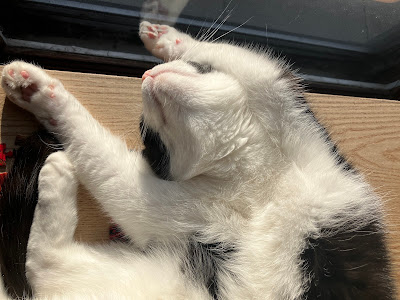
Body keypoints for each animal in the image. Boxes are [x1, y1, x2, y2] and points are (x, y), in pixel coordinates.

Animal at [0, 19, 394, 298]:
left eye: (144, 133)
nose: (145, 74)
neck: (255, 176)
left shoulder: (301, 133)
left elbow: (246, 62)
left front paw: (166, 38)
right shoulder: (179, 209)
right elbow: (106, 164)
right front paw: (37, 90)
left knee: (46, 262)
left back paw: (56, 175)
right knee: (44, 262)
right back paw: (55, 177)